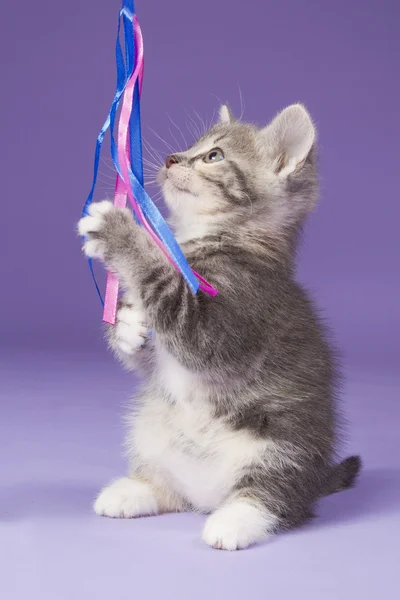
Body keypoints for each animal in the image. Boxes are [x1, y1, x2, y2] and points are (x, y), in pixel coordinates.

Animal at [77, 102, 360, 548]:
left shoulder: (224, 325)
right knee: (172, 492)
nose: (172, 158)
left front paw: (120, 232)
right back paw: (135, 491)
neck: (221, 238)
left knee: (281, 496)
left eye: (214, 156)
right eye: (193, 148)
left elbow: (171, 300)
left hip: (287, 444)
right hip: (151, 427)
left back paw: (236, 520)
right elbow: (150, 349)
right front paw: (128, 326)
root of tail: (208, 497)